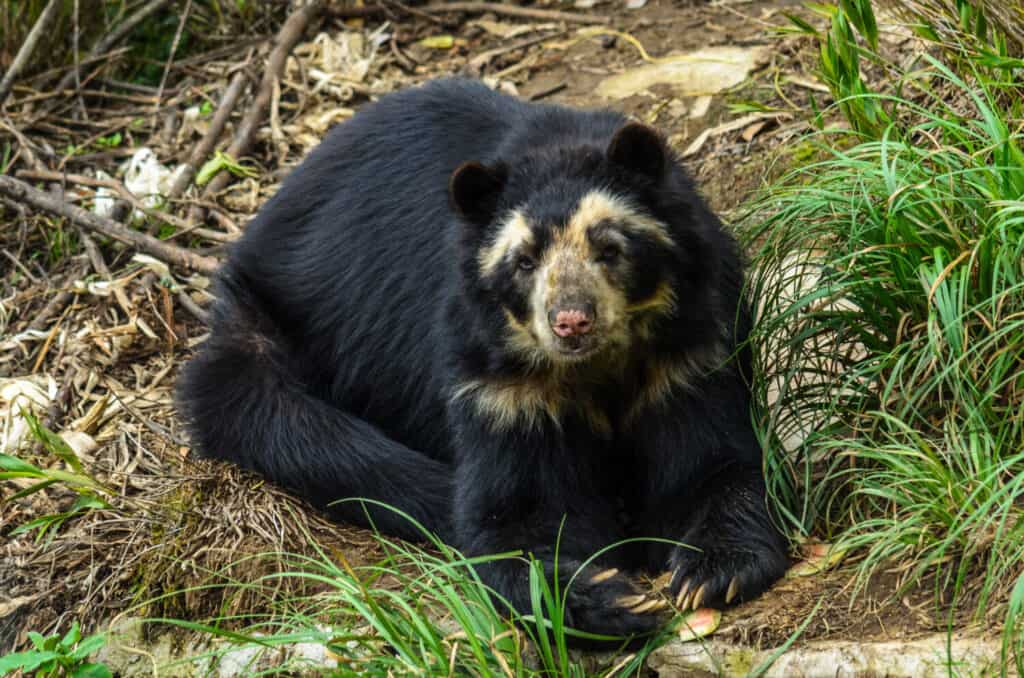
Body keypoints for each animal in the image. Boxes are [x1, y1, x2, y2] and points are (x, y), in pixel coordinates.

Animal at [176, 78, 789, 644]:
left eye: (610, 248)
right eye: (523, 261)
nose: (570, 321)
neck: (597, 368)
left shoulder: (690, 350)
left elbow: (712, 460)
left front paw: (712, 572)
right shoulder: (498, 385)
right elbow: (513, 514)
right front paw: (607, 594)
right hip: (265, 348)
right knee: (315, 436)